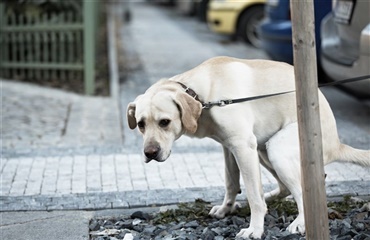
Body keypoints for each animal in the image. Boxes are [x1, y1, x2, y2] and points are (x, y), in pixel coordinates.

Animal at [125, 56, 368, 238]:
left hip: (277, 149)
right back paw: (269, 197)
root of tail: (337, 144)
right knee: (287, 187)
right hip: (262, 150)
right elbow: (231, 183)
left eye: (165, 122)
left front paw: (255, 229)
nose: (150, 153)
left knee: (302, 192)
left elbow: (252, 195)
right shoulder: (230, 147)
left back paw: (299, 222)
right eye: (141, 124)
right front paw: (227, 208)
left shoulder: (242, 146)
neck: (203, 95)